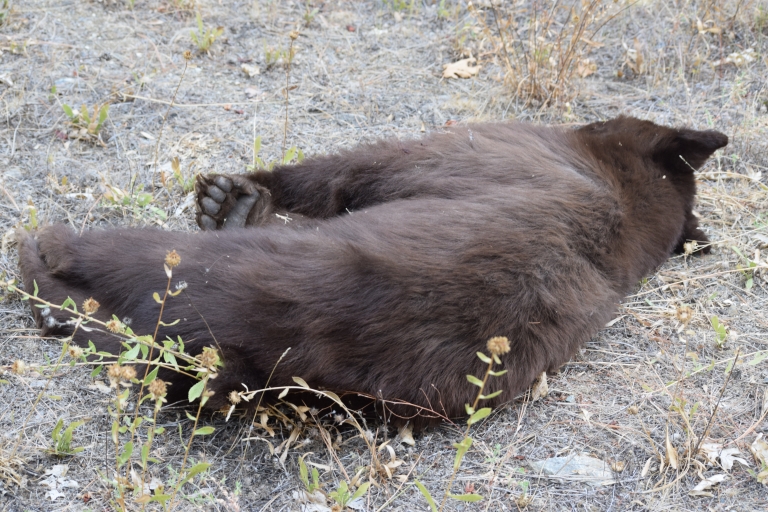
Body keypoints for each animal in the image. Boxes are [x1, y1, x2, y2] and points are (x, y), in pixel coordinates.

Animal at [16, 116, 727, 428]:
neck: (623, 193)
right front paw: (235, 198)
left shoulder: (444, 150)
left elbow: (333, 172)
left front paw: (241, 191)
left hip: (215, 270)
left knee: (108, 266)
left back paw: (45, 259)